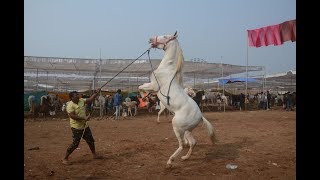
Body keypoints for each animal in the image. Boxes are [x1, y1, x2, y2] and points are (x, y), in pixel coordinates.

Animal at [138, 31, 216, 167]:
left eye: (165, 36)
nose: (151, 39)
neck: (167, 69)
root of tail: (200, 116)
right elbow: (140, 87)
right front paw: (145, 99)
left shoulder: (153, 86)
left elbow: (141, 87)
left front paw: (145, 99)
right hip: (187, 130)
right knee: (192, 142)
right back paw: (185, 158)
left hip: (177, 127)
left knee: (183, 144)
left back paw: (170, 161)